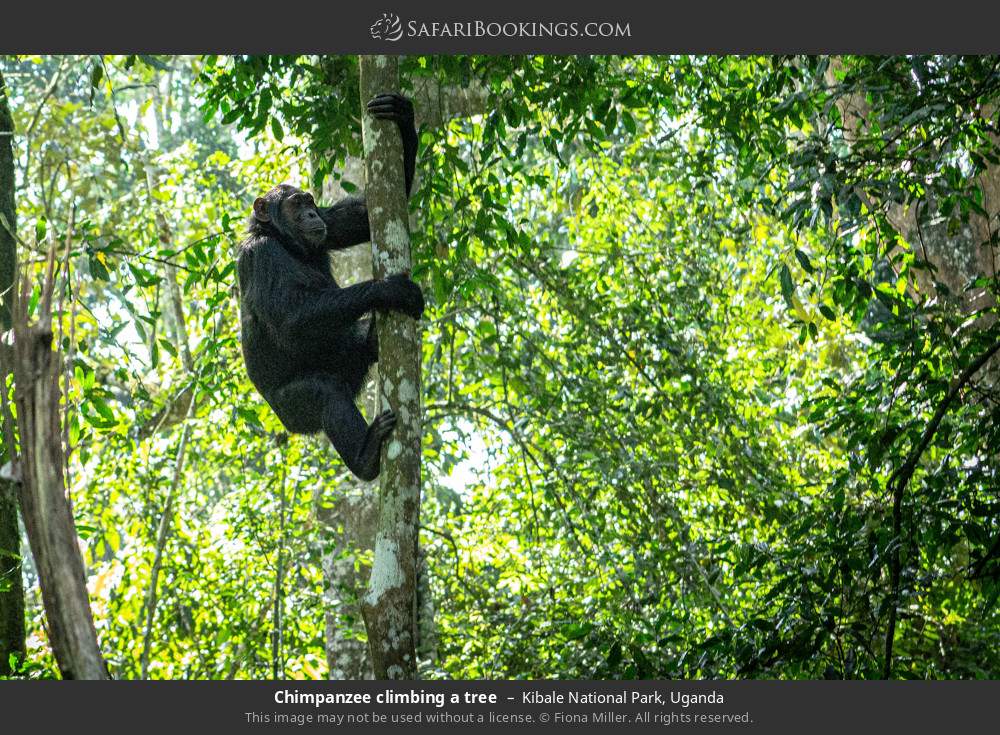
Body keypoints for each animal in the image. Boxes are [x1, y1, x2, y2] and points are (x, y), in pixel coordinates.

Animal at [237, 93, 422, 484]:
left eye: (309, 202)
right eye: (295, 205)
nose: (310, 214)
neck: (281, 239)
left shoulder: (329, 224)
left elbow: (361, 218)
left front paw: (401, 114)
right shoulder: (261, 257)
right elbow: (291, 319)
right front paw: (390, 289)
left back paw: (372, 339)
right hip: (293, 409)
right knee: (327, 392)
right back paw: (366, 457)